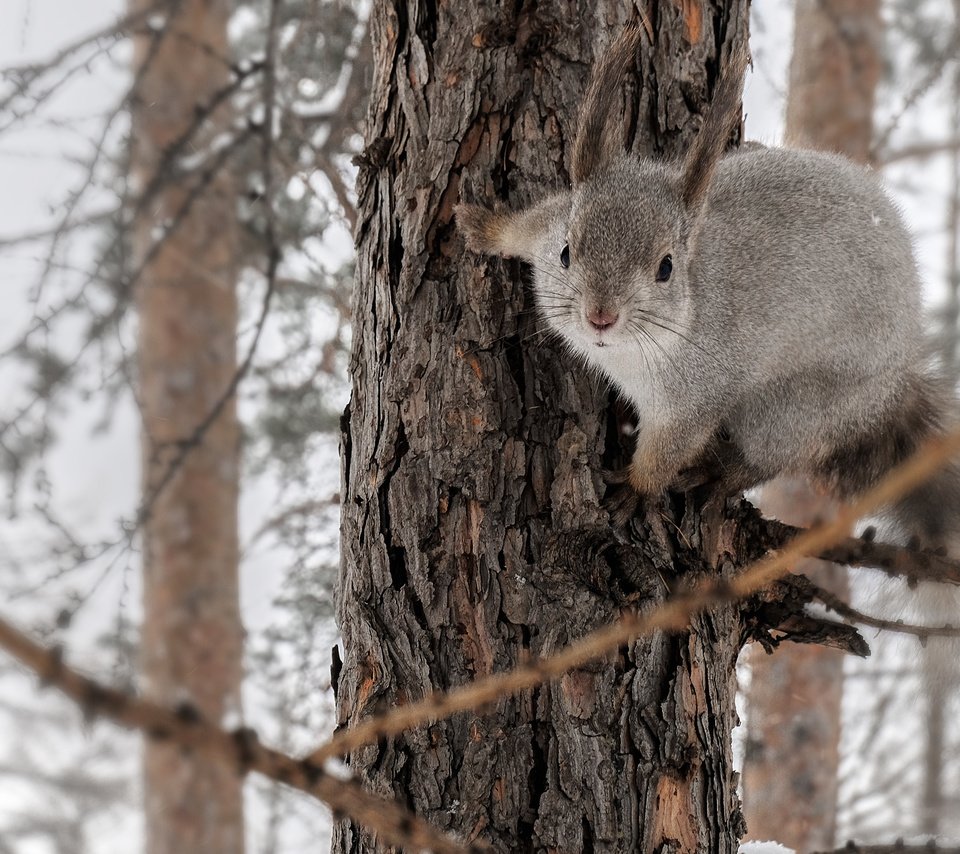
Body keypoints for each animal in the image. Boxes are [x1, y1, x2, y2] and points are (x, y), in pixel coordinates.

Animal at [456, 28, 960, 556]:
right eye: (567, 252)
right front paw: (484, 226)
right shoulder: (548, 224)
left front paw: (637, 489)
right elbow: (524, 228)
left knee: (770, 456)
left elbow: (668, 450)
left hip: (794, 408)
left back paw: (719, 473)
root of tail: (894, 385)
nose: (600, 316)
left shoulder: (694, 395)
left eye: (666, 268)